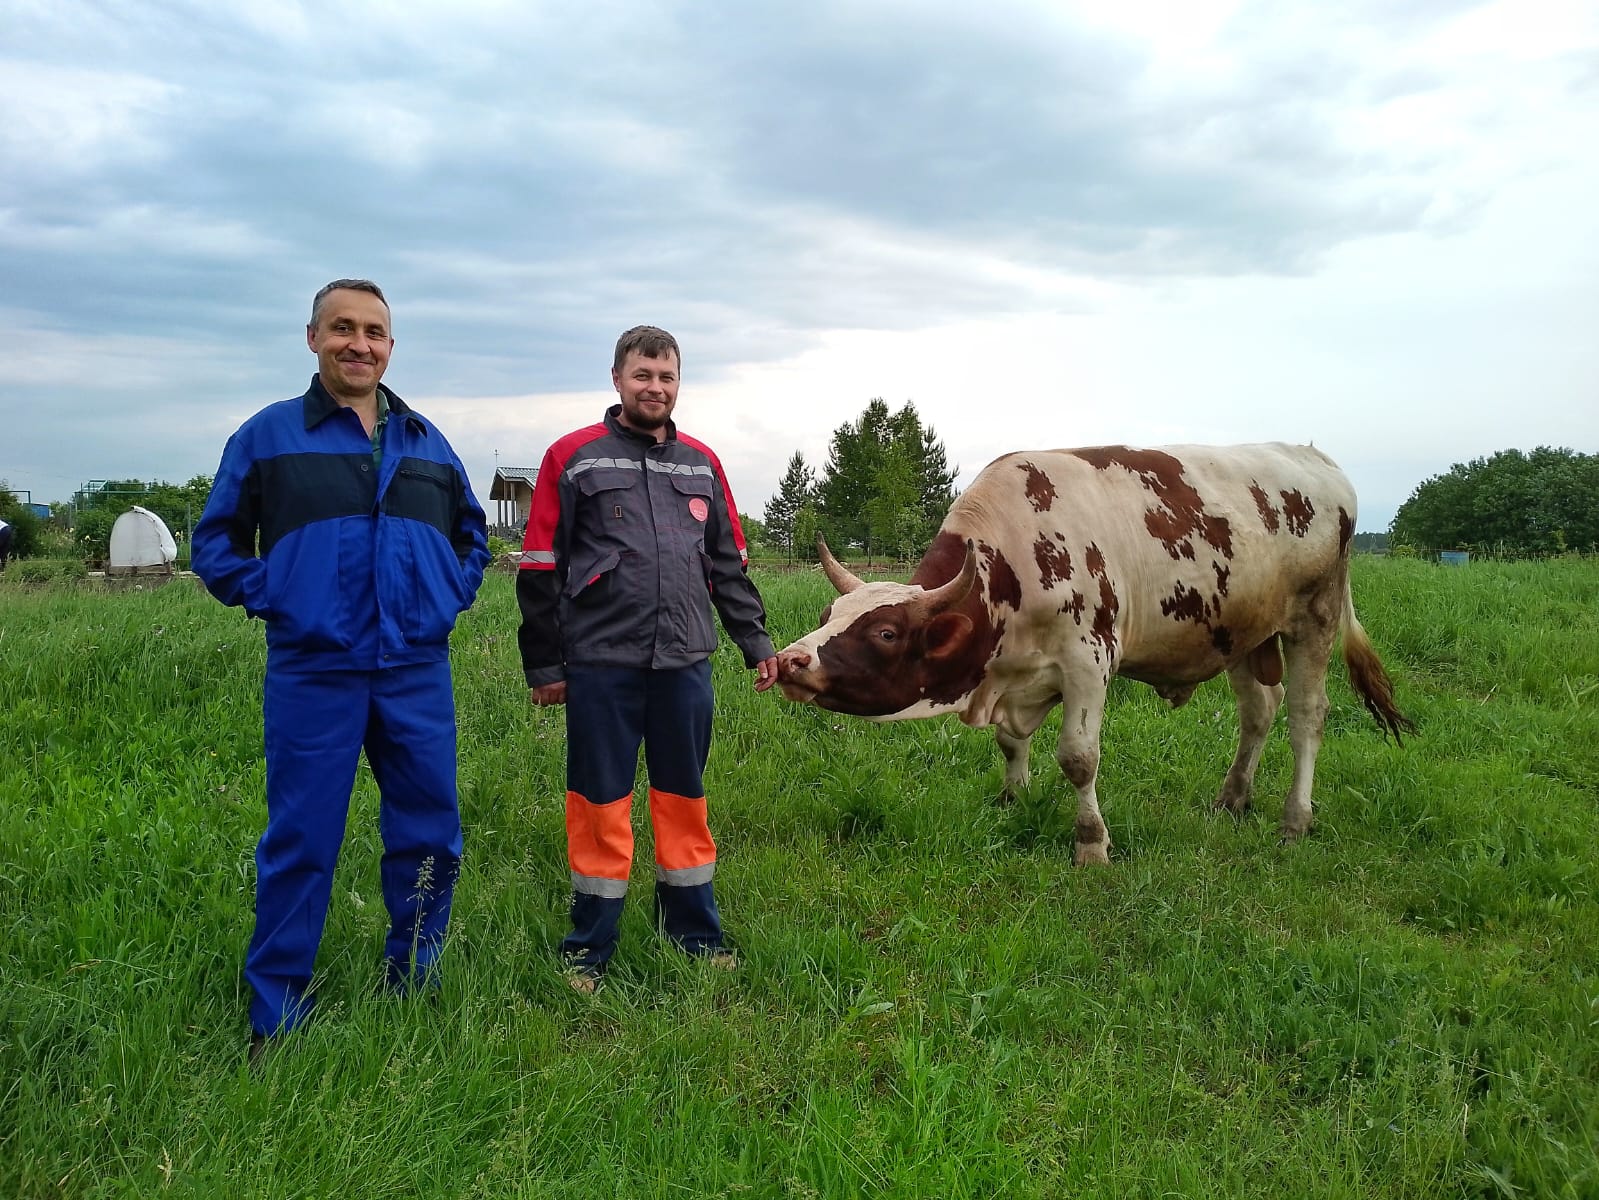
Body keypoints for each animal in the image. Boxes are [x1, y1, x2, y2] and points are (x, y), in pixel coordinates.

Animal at [773, 441, 1413, 864]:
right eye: (827, 616)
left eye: (885, 633)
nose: (789, 662)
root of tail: (1316, 458)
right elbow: (1011, 743)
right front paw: (1012, 799)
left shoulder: (1089, 660)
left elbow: (1078, 758)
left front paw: (1092, 845)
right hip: (1242, 634)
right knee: (1259, 711)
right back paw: (1232, 799)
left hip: (1315, 618)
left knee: (1307, 716)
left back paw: (1294, 820)